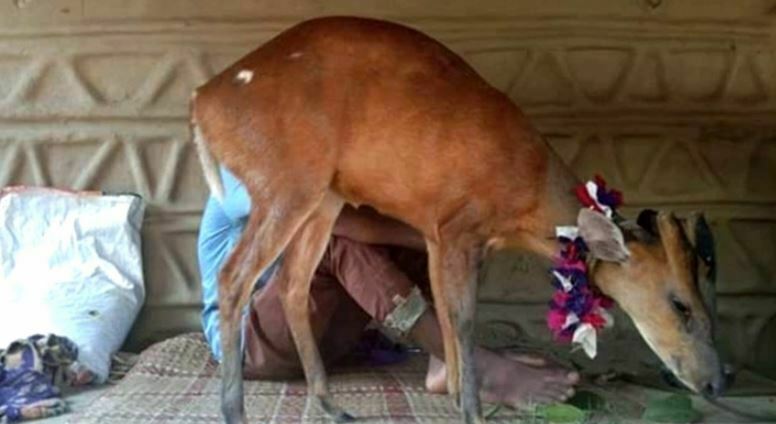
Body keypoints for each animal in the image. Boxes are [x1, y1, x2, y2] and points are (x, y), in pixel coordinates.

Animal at [190, 16, 724, 424]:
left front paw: (455, 398)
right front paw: (474, 410)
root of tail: (201, 103)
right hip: (285, 181)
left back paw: (331, 405)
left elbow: (449, 318)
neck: (527, 196)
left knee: (293, 286)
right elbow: (465, 323)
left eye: (709, 304)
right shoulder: (458, 228)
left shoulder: (439, 235)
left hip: (324, 197)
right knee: (235, 277)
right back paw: (234, 412)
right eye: (679, 304)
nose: (719, 380)